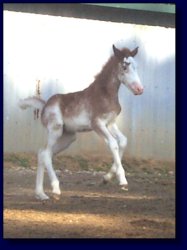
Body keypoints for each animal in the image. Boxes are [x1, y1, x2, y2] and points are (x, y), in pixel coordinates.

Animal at [19, 45, 143, 200]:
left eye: (136, 66)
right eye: (125, 67)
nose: (139, 89)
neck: (104, 94)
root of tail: (44, 106)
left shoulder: (110, 123)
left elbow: (123, 141)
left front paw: (106, 178)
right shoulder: (97, 124)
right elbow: (113, 144)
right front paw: (122, 180)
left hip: (68, 137)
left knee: (42, 153)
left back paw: (41, 194)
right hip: (55, 130)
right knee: (46, 154)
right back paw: (55, 189)